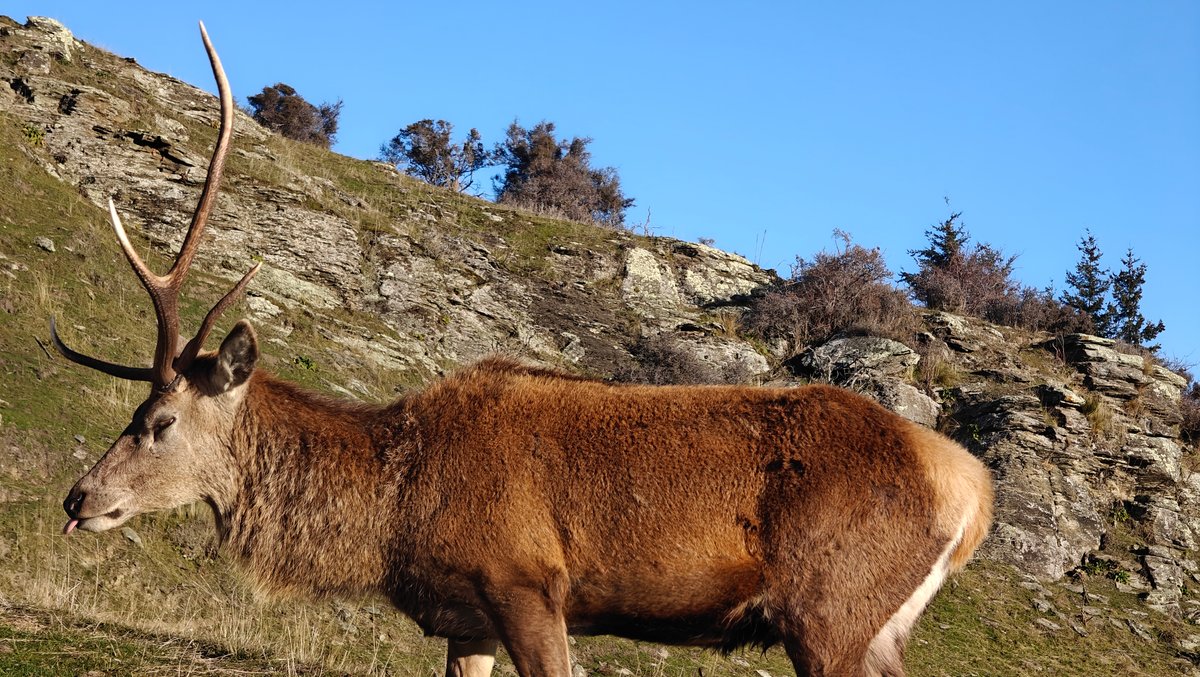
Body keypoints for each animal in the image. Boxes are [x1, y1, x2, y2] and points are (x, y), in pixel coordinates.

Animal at [53, 23, 994, 677]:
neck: (395, 509)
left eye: (161, 421)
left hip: (833, 609)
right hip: (876, 626)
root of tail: (971, 487)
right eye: (135, 407)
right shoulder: (466, 614)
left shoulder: (528, 582)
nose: (78, 497)